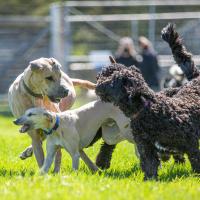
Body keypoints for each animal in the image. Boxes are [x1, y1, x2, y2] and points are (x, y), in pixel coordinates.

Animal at [95, 25, 200, 180]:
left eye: (113, 80)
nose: (98, 80)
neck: (148, 110)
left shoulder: (191, 143)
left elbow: (196, 161)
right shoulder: (146, 146)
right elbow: (150, 165)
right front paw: (150, 181)